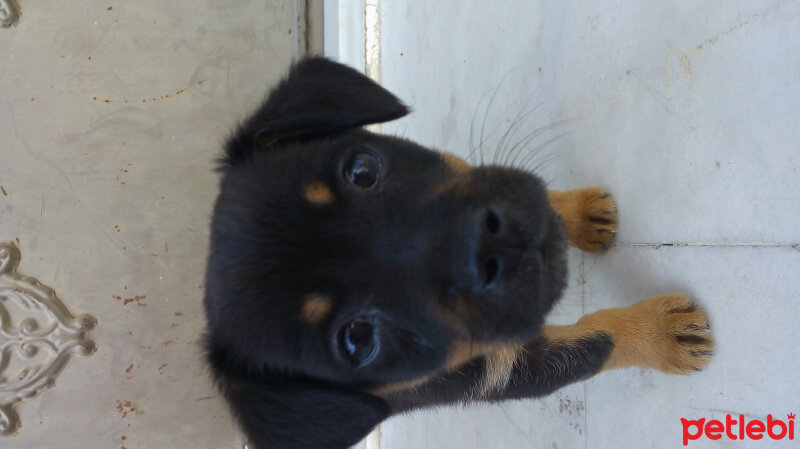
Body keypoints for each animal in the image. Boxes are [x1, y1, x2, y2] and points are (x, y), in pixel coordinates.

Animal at [203, 58, 716, 448]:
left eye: (362, 169)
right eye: (357, 340)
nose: (485, 245)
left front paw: (577, 213)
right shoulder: (501, 371)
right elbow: (596, 345)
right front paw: (661, 334)